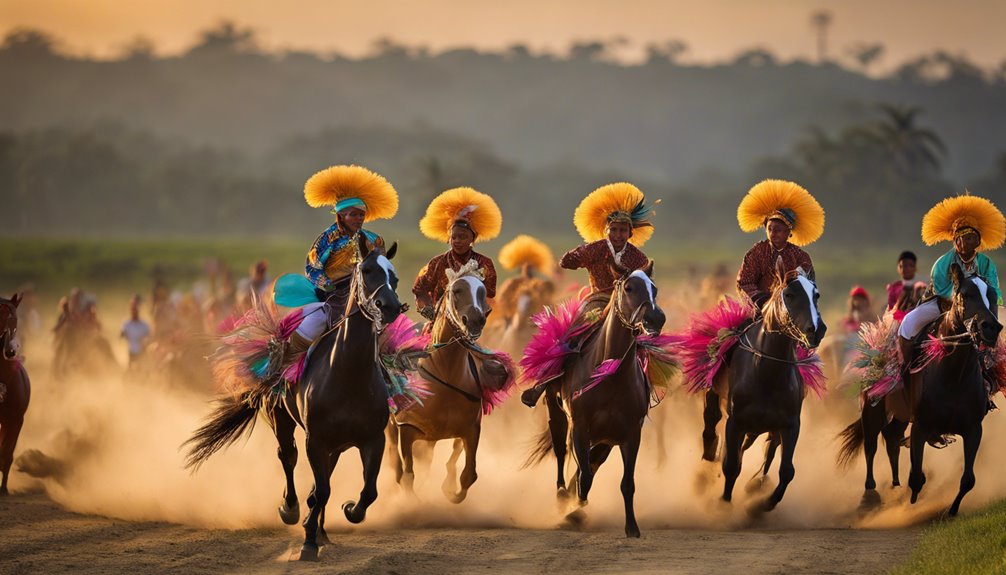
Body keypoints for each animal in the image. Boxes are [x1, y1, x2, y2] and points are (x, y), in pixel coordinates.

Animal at [187, 234, 406, 562]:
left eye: (394, 276)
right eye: (367, 270)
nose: (389, 306)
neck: (349, 373)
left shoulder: (372, 438)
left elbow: (367, 491)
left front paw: (346, 511)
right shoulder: (315, 438)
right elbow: (321, 488)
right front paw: (308, 541)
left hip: (335, 443)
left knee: (322, 477)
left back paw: (321, 529)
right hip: (281, 419)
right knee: (287, 457)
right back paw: (291, 510)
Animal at [384, 265, 511, 502]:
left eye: (482, 291)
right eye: (457, 290)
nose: (475, 320)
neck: (446, 374)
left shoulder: (471, 429)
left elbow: (467, 474)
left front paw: (449, 488)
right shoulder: (407, 427)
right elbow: (408, 476)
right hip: (392, 425)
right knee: (394, 455)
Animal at [527, 267, 667, 538]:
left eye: (654, 288)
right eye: (629, 287)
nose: (656, 318)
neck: (610, 377)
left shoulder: (630, 433)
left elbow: (626, 483)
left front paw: (632, 527)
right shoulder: (580, 426)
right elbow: (585, 476)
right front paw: (574, 509)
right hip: (556, 413)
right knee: (561, 450)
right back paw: (562, 494)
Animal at [700, 257, 824, 510]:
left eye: (816, 294)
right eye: (790, 294)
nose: (816, 330)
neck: (767, 375)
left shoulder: (790, 425)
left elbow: (786, 470)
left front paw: (763, 504)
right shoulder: (735, 422)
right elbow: (731, 465)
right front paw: (724, 503)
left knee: (766, 451)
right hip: (715, 397)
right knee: (711, 422)